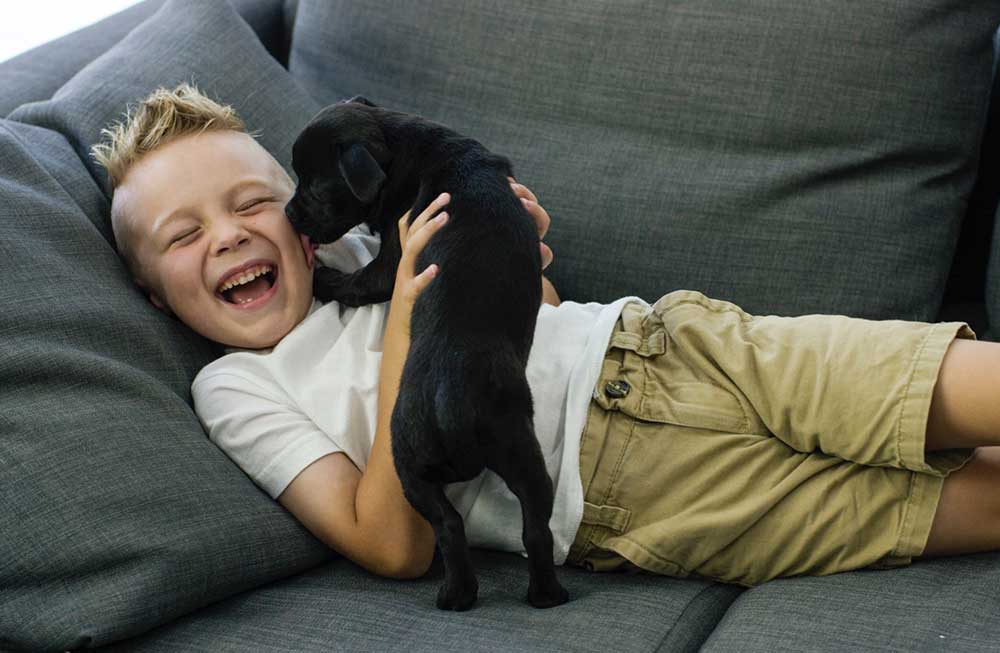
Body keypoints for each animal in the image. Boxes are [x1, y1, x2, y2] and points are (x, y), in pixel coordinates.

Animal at [290, 98, 572, 612]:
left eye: (316, 188)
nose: (287, 213)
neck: (403, 146)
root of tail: (450, 400)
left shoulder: (392, 259)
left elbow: (359, 281)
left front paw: (319, 277)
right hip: (494, 456)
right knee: (518, 528)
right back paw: (515, 595)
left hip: (415, 464)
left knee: (458, 526)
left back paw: (474, 596)